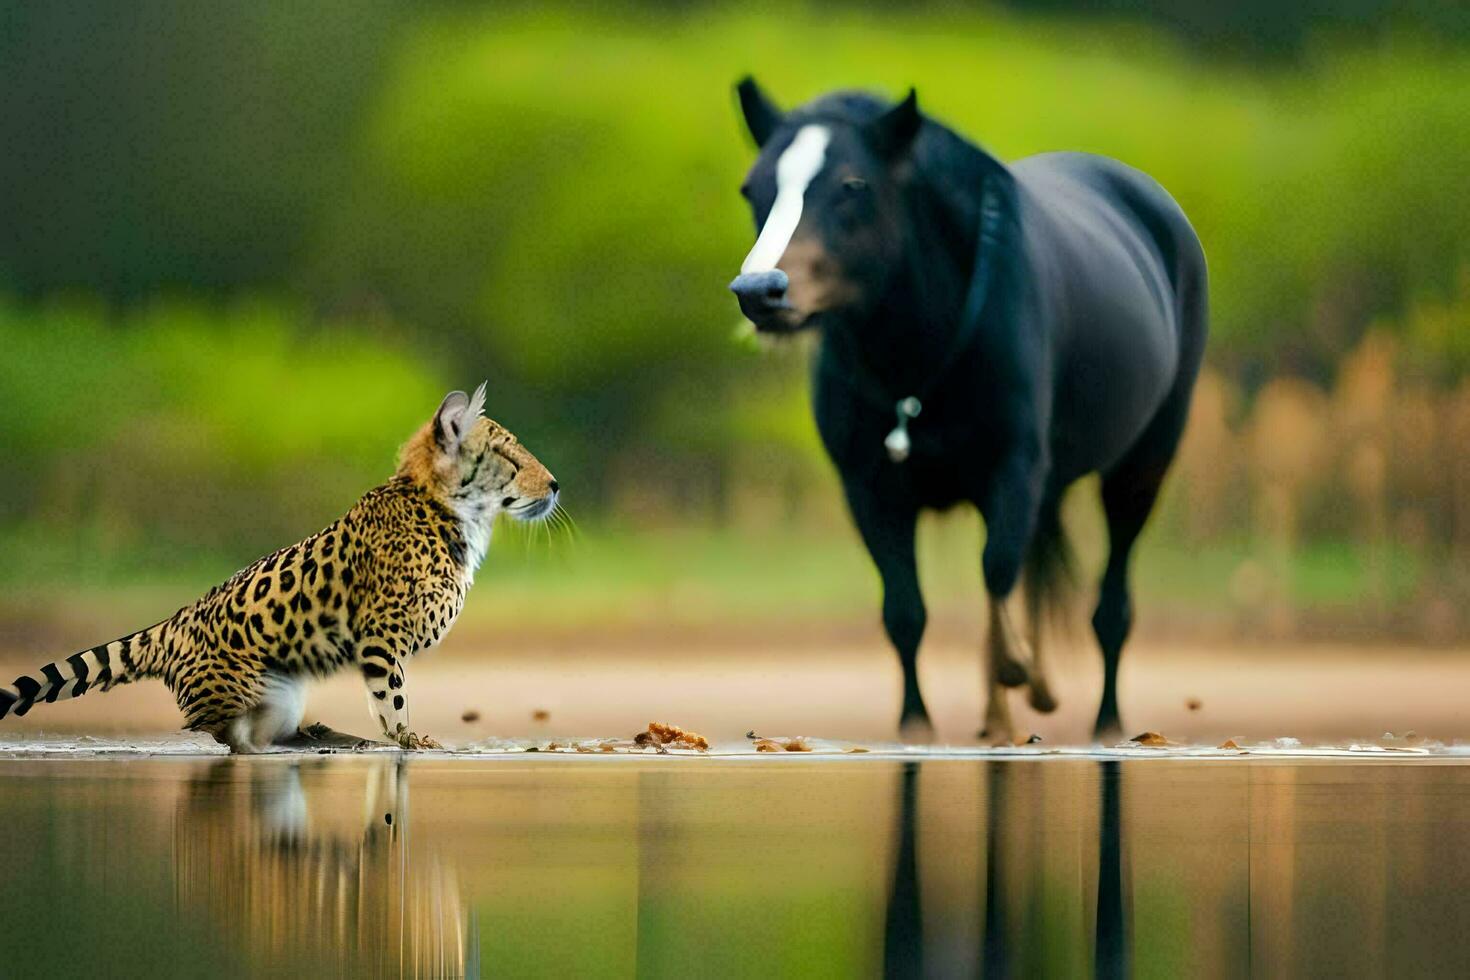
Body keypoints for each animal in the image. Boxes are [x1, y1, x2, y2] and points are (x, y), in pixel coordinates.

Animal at [732, 78, 1205, 743]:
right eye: (753, 188)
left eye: (853, 185)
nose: (760, 291)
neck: (919, 354)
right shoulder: (868, 487)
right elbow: (905, 611)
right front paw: (917, 725)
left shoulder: (1014, 467)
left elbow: (997, 570)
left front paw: (1018, 678)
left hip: (1144, 463)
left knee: (1110, 606)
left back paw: (1104, 722)